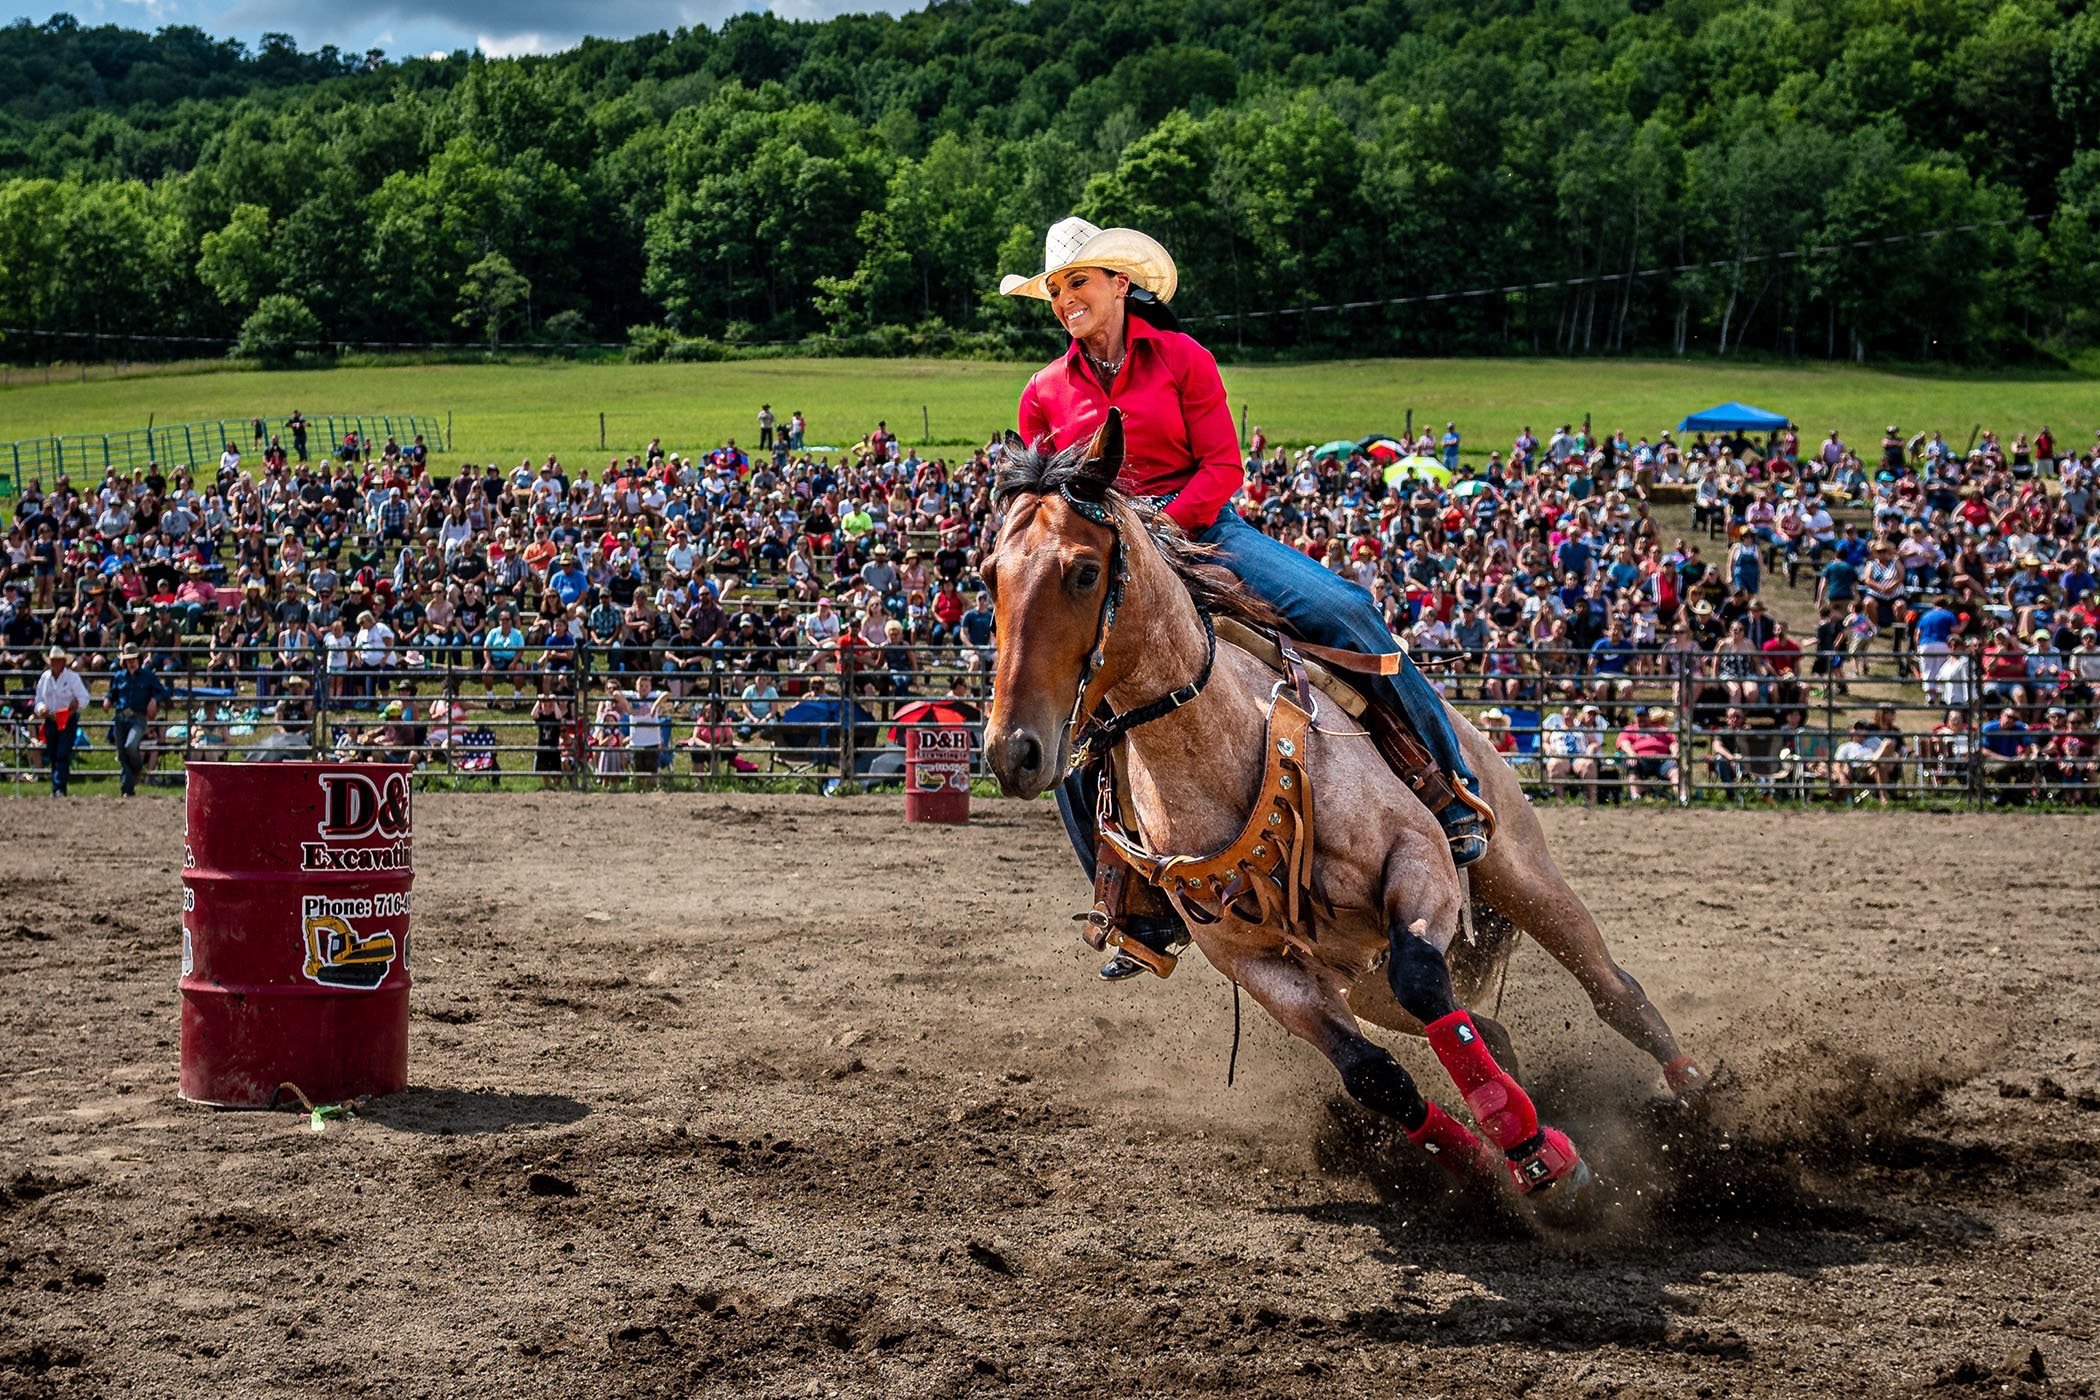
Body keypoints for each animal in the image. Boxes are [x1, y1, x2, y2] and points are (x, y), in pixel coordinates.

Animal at [982, 411, 1705, 1208]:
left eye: (1084, 571)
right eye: (989, 577)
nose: (1013, 750)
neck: (1221, 750)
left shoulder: (1417, 866)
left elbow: (1424, 980)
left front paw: (1536, 1154)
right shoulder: (1260, 966)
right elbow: (1375, 1077)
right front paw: (1497, 1164)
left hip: (1520, 874)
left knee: (1612, 991)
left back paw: (1701, 1107)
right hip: (1363, 979)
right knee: (1487, 1028)